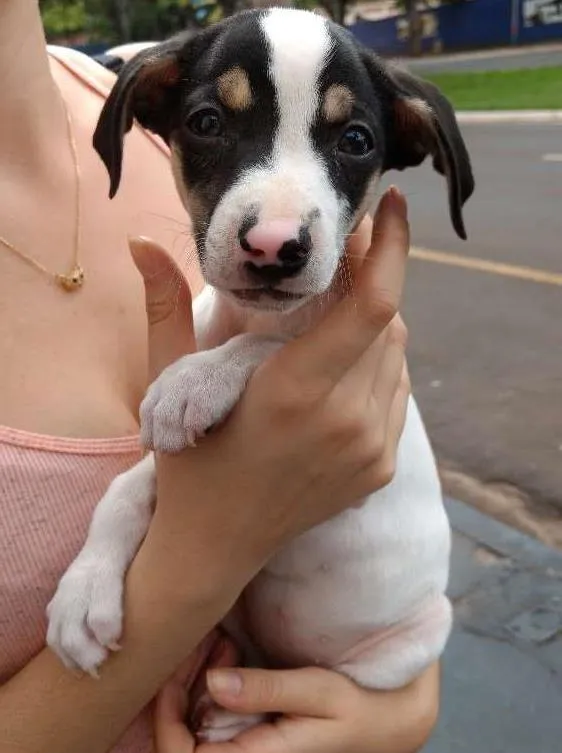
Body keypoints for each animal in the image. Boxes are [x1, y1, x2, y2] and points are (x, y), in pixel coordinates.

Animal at [44, 7, 472, 740]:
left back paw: (233, 713)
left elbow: (269, 346)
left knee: (314, 681)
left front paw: (194, 382)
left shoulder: (356, 465)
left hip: (406, 643)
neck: (244, 314)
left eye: (356, 140)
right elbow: (129, 485)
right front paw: (85, 587)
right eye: (207, 121)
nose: (274, 247)